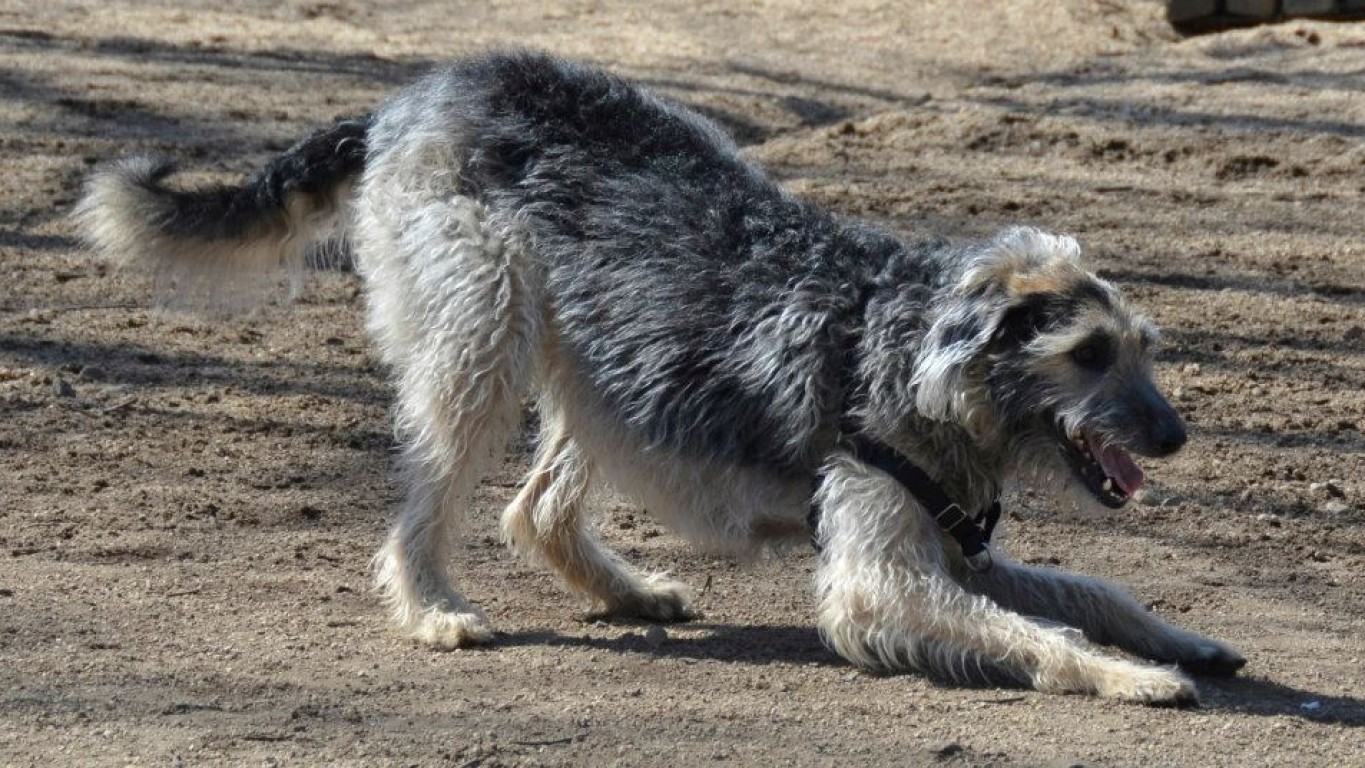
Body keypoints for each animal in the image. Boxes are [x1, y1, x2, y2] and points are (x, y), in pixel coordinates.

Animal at [77, 51, 1250, 703]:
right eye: (1086, 354)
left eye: (1145, 347)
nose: (1174, 437)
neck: (910, 343)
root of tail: (411, 98)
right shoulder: (879, 578)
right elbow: (1042, 633)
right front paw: (1133, 676)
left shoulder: (961, 553)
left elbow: (1089, 591)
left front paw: (1178, 639)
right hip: (481, 330)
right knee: (426, 499)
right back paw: (435, 608)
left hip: (600, 361)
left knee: (537, 507)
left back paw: (625, 590)